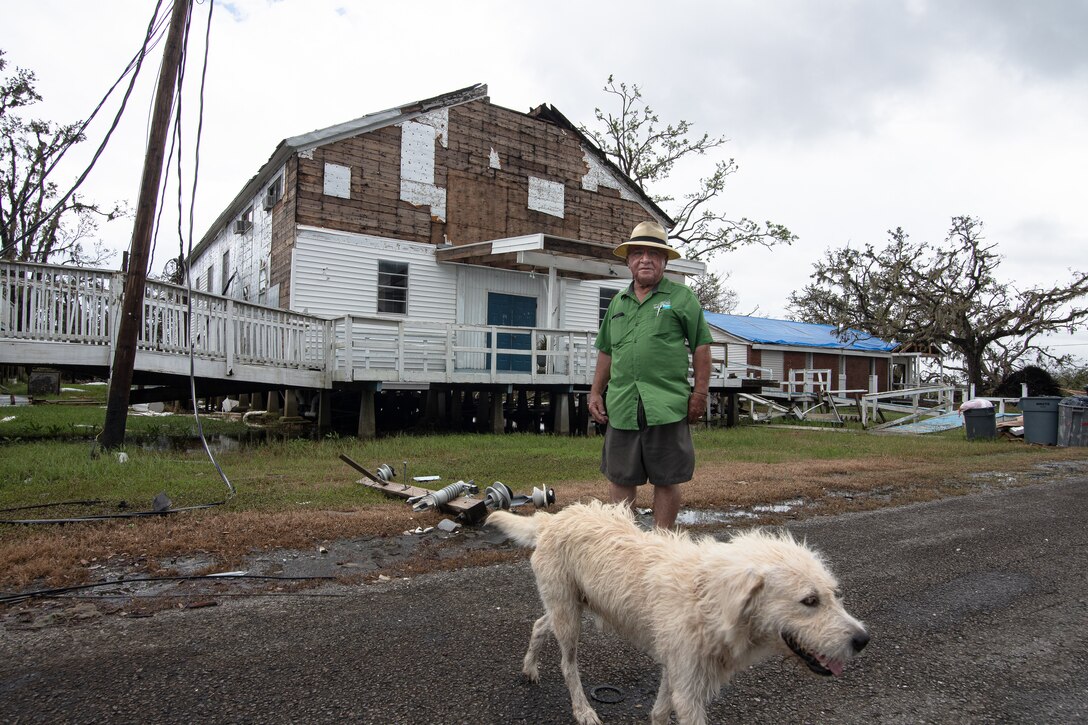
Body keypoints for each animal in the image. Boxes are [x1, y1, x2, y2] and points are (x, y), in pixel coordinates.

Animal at [489, 496, 870, 722]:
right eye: (809, 601)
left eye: (834, 594)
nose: (863, 640)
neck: (710, 598)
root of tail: (551, 520)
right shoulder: (688, 687)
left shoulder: (678, 669)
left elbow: (659, 712)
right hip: (569, 618)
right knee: (568, 666)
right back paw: (582, 710)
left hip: (567, 607)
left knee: (540, 624)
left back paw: (529, 668)